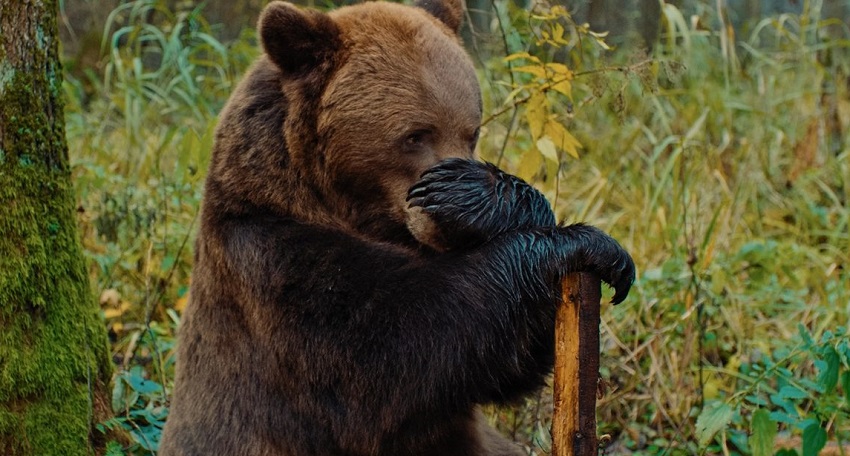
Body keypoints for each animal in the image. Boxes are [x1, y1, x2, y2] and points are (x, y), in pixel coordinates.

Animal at [158, 0, 635, 455]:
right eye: (415, 135)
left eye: (472, 130)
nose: (440, 223)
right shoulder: (270, 268)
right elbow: (398, 349)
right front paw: (582, 243)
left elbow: (504, 368)